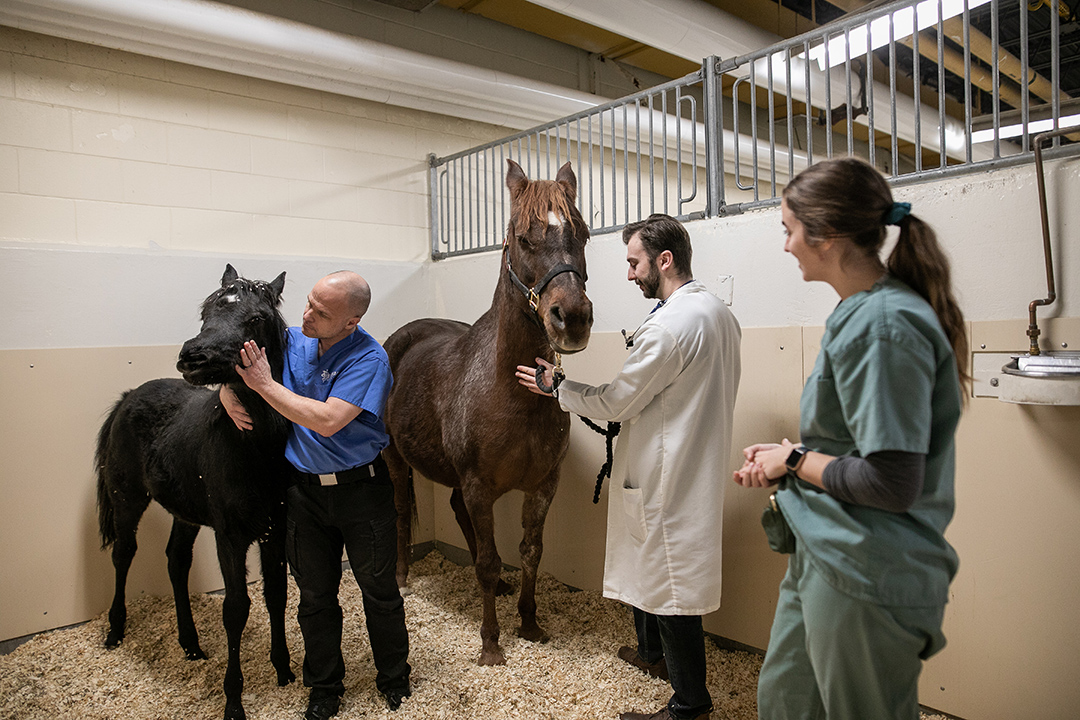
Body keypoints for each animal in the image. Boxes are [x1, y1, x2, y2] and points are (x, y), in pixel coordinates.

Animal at [386, 158, 596, 664]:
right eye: (523, 238)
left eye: (581, 234)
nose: (573, 318)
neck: (513, 394)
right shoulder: (480, 486)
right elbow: (484, 559)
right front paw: (490, 644)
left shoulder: (542, 485)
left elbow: (530, 551)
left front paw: (529, 623)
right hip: (394, 459)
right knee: (401, 510)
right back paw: (401, 578)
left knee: (457, 511)